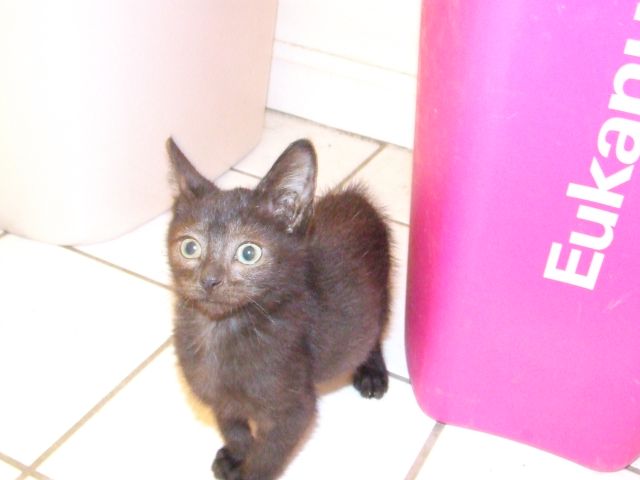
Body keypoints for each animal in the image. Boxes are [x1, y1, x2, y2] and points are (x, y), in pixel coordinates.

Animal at [166, 137, 392, 480]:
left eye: (248, 253)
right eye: (190, 247)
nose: (209, 280)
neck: (220, 331)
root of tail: (356, 197)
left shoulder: (292, 412)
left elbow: (267, 457)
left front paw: (247, 470)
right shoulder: (218, 398)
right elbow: (233, 427)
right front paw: (235, 456)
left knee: (372, 332)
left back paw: (372, 371)